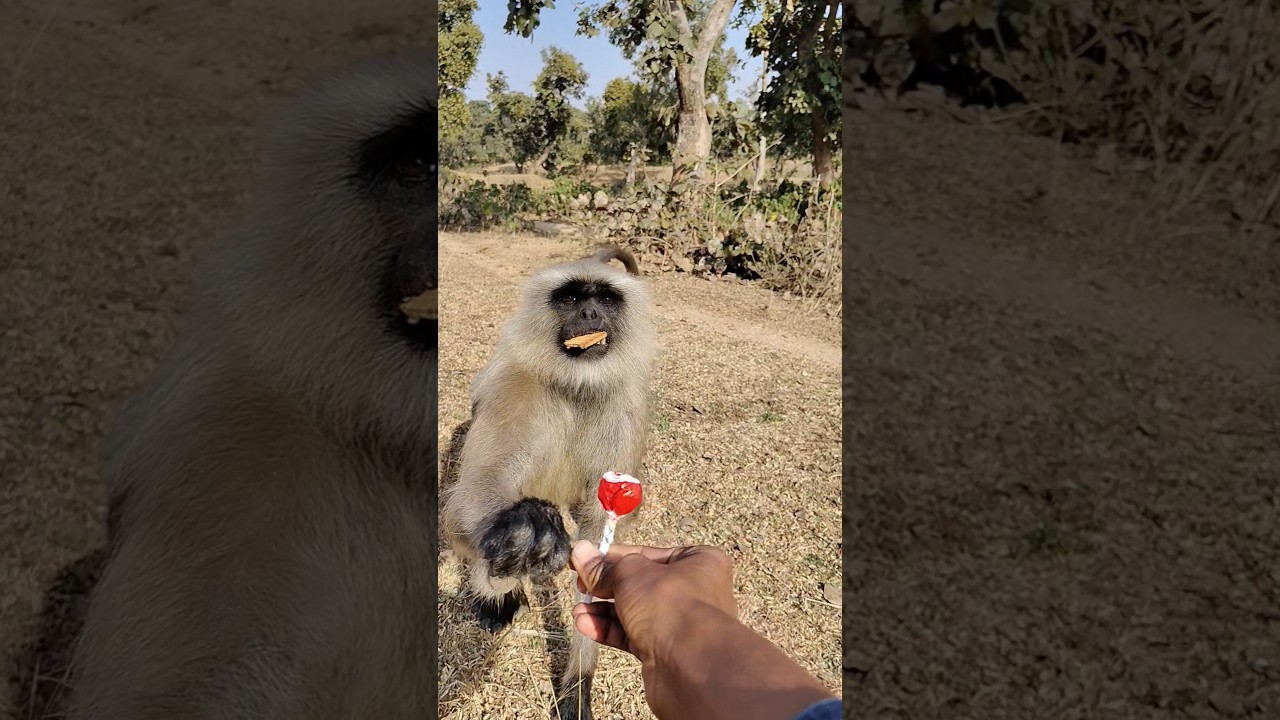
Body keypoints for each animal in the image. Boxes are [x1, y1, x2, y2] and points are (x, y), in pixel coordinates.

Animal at [441, 242, 657, 720]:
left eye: (605, 299)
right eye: (572, 298)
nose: (591, 313)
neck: (577, 385)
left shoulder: (626, 403)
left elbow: (598, 533)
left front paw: (577, 685)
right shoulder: (515, 388)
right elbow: (470, 502)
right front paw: (524, 532)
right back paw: (498, 592)